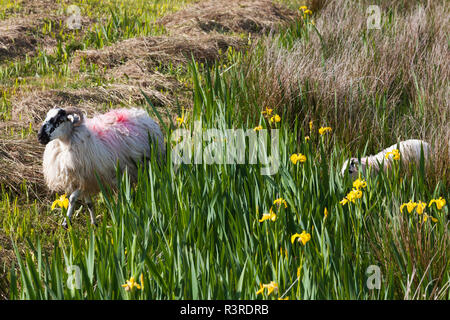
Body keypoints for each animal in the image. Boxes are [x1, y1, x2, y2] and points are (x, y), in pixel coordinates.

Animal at [37, 107, 165, 228]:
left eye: (59, 120)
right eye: (46, 117)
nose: (40, 137)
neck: (66, 144)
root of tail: (144, 115)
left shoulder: (88, 179)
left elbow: (72, 198)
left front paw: (66, 222)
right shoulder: (84, 181)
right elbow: (89, 204)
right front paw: (94, 224)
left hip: (150, 164)